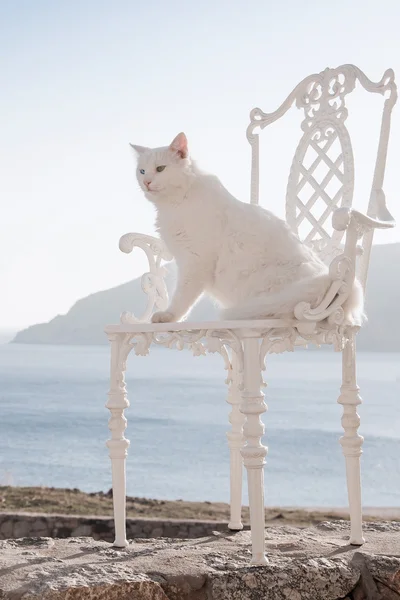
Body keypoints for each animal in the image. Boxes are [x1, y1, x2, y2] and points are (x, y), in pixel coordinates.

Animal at [131, 134, 362, 326]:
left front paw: (169, 316)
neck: (176, 204)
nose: (146, 182)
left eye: (160, 169)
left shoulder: (195, 262)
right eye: (141, 171)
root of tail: (334, 282)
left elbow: (182, 297)